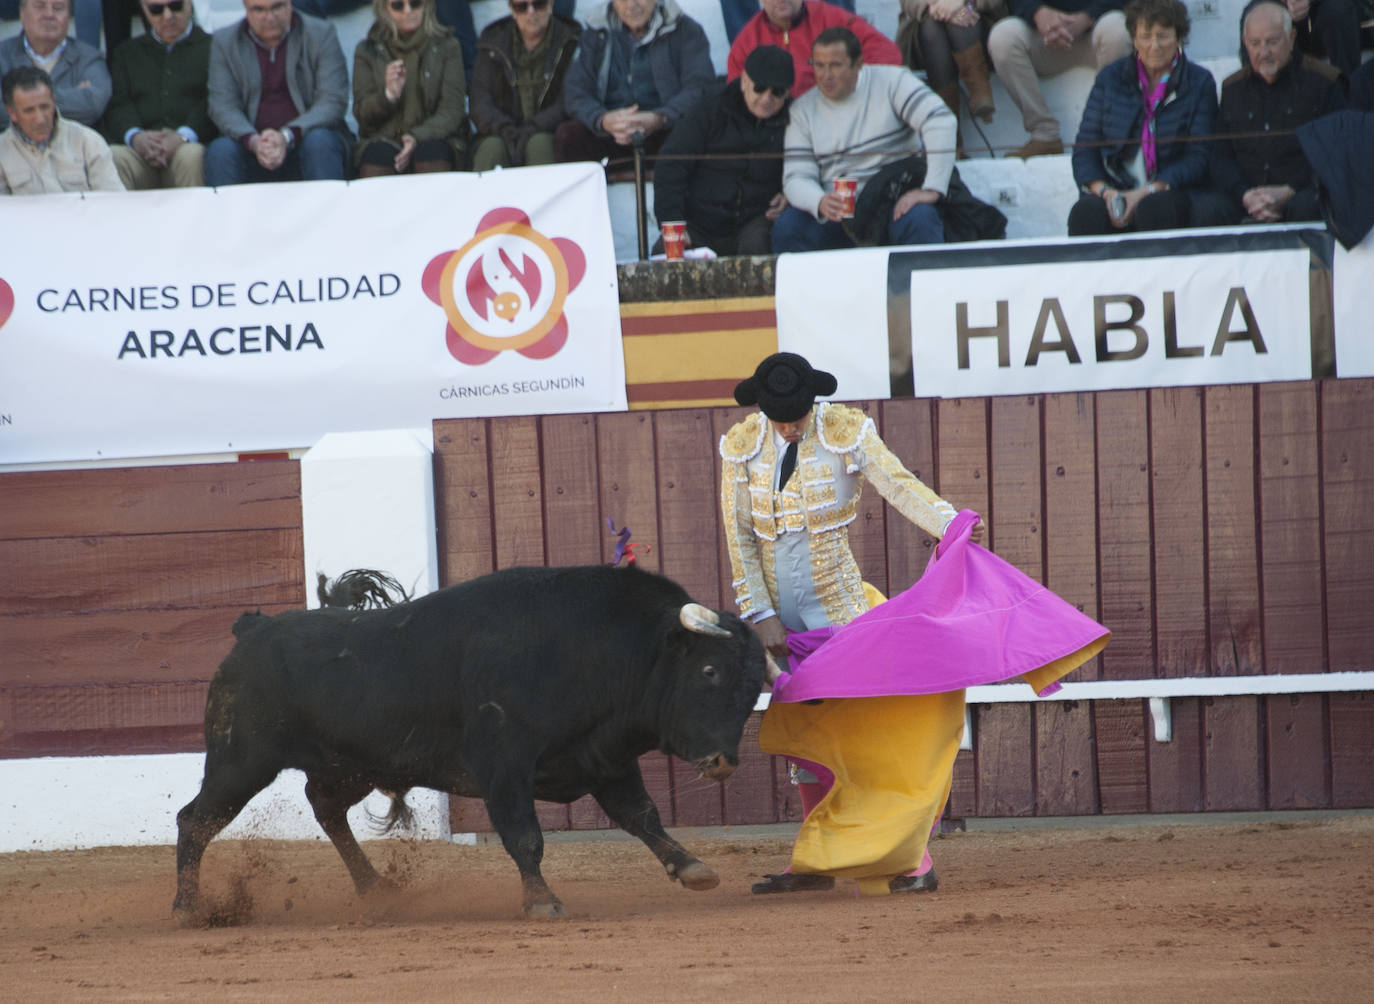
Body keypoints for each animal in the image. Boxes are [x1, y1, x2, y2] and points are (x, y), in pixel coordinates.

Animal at [173, 565, 769, 917]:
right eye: (710, 672)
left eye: (753, 689)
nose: (722, 762)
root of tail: (252, 630)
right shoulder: (503, 763)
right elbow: (525, 836)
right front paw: (542, 902)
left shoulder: (604, 760)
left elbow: (643, 816)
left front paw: (692, 868)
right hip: (241, 761)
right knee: (195, 820)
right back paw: (188, 907)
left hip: (351, 767)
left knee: (324, 808)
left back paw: (375, 890)